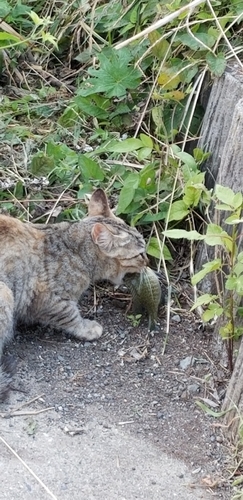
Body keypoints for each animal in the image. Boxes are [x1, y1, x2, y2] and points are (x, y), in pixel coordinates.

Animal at [0, 189, 146, 400]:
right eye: (139, 254)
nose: (149, 262)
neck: (76, 251)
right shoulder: (48, 299)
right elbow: (69, 316)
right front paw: (87, 328)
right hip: (5, 292)